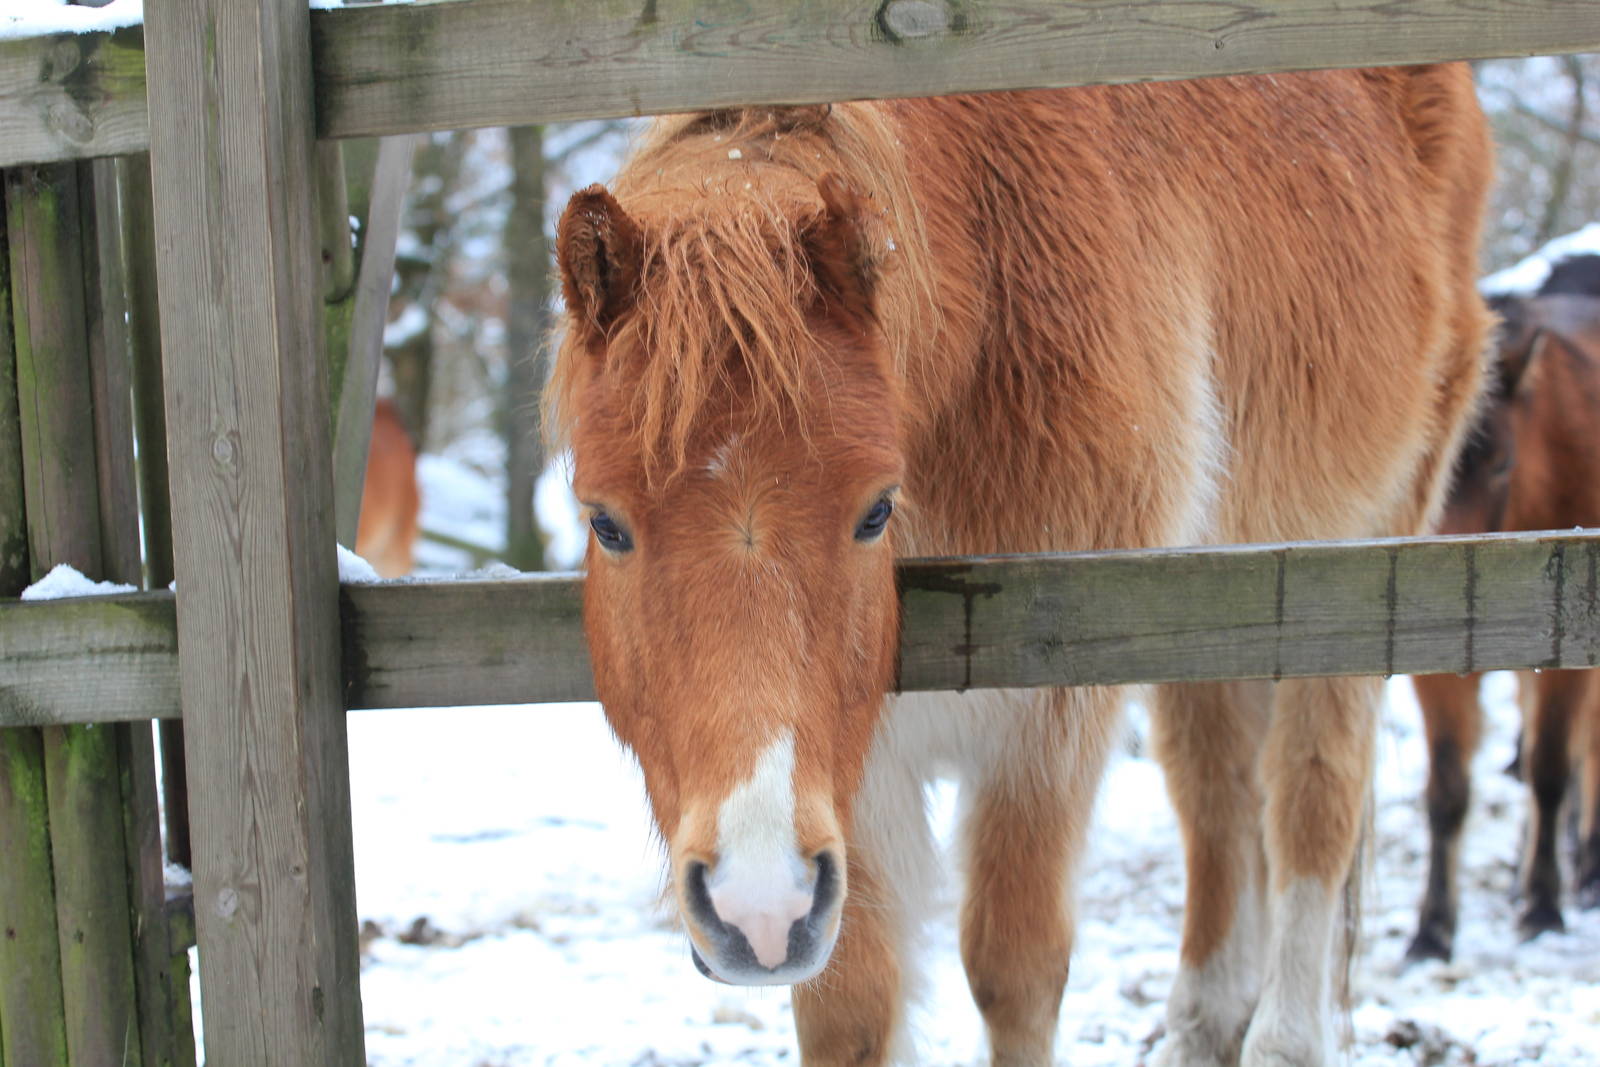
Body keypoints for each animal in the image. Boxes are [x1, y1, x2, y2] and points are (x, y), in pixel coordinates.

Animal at [549, 67, 1491, 1066]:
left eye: (875, 510)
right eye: (605, 523)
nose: (755, 904)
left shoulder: (1048, 719)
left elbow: (1015, 966)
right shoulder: (852, 765)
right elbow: (851, 1009)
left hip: (1354, 570)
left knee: (1312, 799)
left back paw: (1284, 1035)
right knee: (1218, 797)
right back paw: (1205, 1022)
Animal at [1407, 279, 1600, 963]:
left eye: (1502, 467)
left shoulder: (1571, 658)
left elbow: (1549, 769)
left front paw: (1542, 904)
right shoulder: (1437, 674)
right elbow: (1447, 790)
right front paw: (1432, 928)